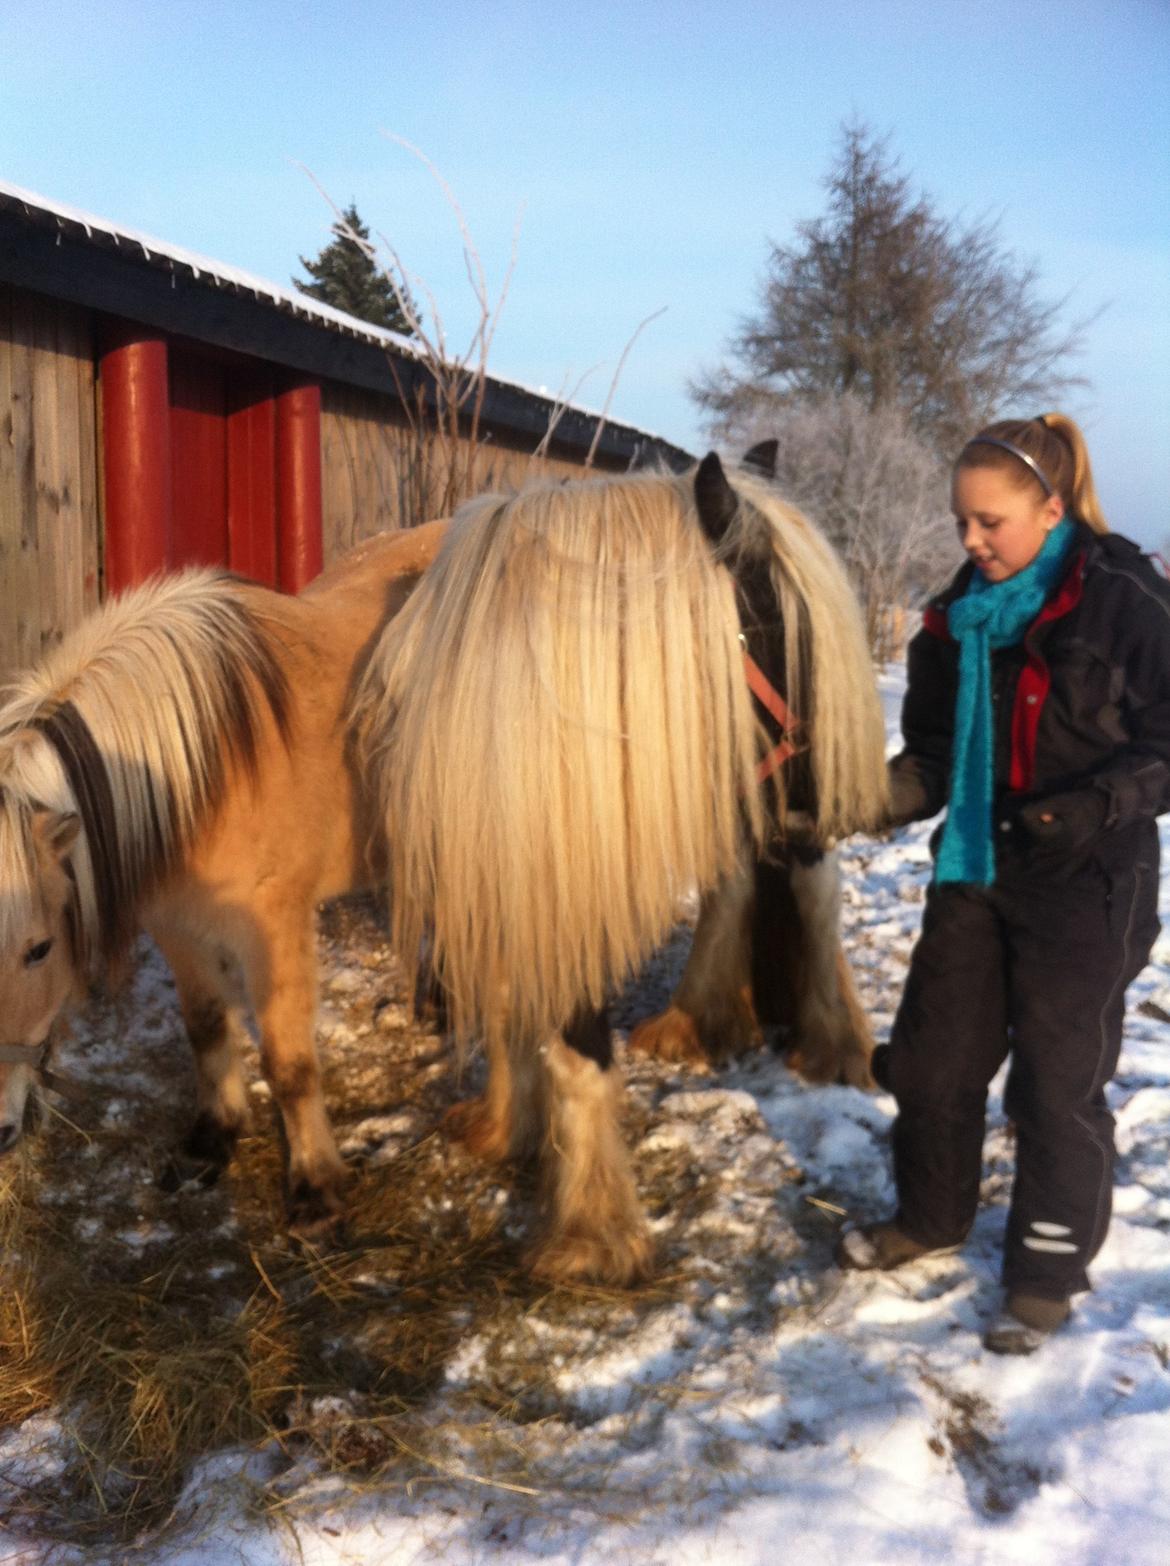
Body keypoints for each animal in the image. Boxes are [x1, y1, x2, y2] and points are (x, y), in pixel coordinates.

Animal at [0, 519, 447, 1227]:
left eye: (39, 949)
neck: (201, 771)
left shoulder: (274, 927)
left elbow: (289, 1062)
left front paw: (316, 1186)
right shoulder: (179, 927)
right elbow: (207, 1027)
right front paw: (212, 1141)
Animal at [353, 454, 889, 1284]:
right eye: (783, 628)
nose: (837, 798)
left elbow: (577, 1051)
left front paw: (590, 1237)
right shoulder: (511, 880)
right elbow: (511, 1008)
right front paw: (502, 1129)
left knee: (809, 889)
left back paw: (834, 1046)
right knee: (742, 884)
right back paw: (697, 1021)